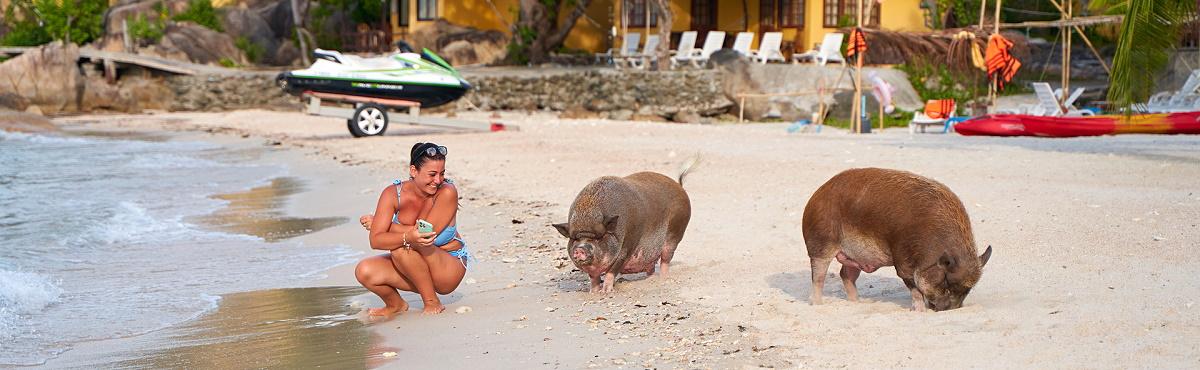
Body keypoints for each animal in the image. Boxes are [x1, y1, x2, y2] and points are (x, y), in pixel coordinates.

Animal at [552, 164, 696, 294]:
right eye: (575, 239)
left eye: (599, 238)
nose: (580, 249)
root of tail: (679, 186)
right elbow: (594, 278)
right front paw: (593, 293)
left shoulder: (627, 246)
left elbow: (611, 271)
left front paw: (606, 292)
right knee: (651, 267)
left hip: (676, 230)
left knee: (666, 259)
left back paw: (663, 278)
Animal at [806, 169, 993, 309]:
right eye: (946, 280)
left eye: (967, 290)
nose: (948, 309)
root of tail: (816, 196)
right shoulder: (903, 260)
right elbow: (914, 288)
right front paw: (920, 310)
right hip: (820, 244)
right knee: (818, 277)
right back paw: (818, 304)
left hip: (853, 257)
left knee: (846, 275)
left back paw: (858, 302)